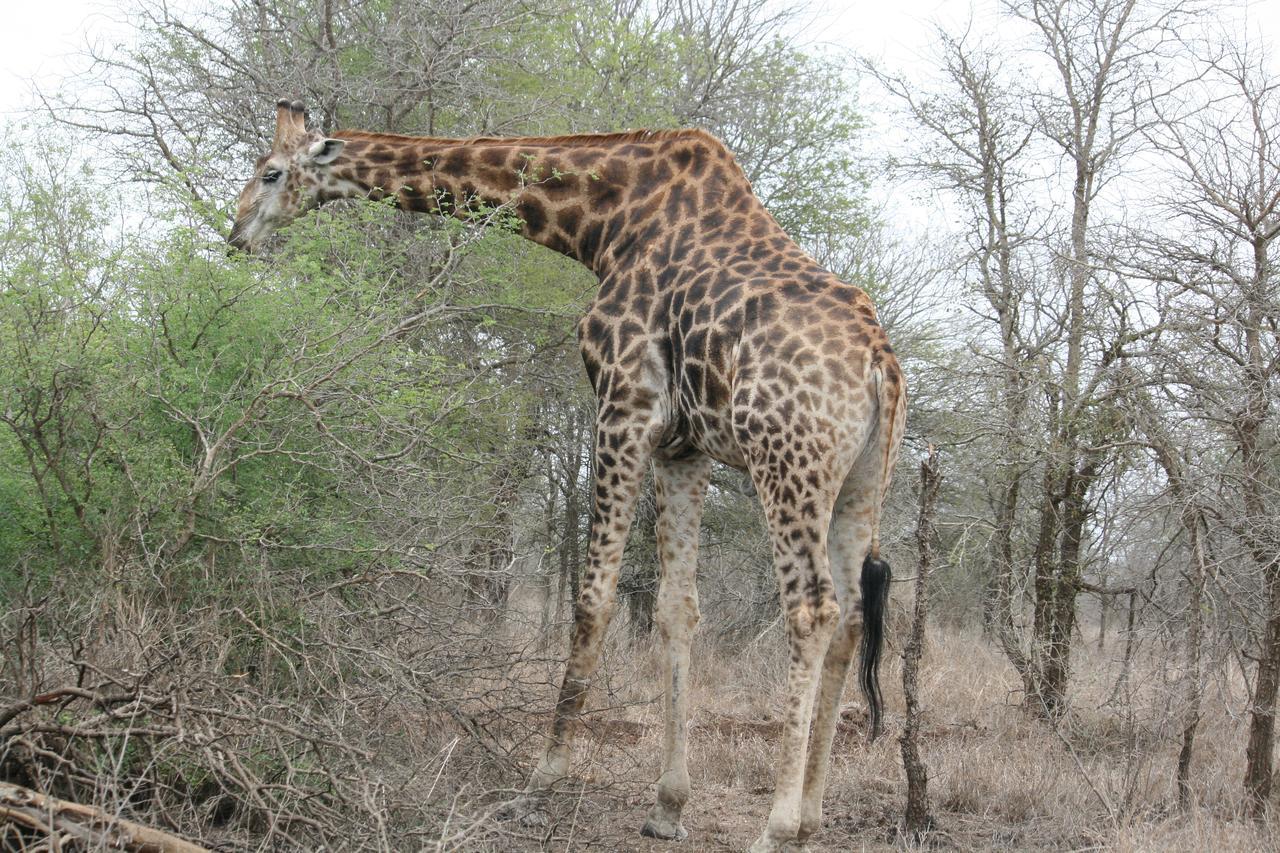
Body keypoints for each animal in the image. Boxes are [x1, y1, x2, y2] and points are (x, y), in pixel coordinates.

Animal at [232, 99, 911, 850]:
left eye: (271, 172)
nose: (235, 234)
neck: (606, 221)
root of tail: (881, 365)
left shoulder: (624, 403)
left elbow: (593, 600)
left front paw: (540, 782)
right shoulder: (683, 446)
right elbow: (677, 608)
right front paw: (667, 805)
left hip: (786, 460)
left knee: (813, 608)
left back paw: (777, 827)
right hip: (861, 482)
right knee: (851, 617)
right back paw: (813, 816)